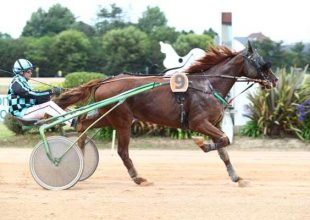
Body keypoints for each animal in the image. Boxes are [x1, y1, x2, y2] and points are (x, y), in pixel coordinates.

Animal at [54, 40, 278, 186]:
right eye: (262, 63)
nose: (275, 80)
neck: (208, 85)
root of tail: (106, 81)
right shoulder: (199, 122)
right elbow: (224, 140)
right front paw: (202, 144)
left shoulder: (213, 124)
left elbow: (224, 149)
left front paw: (235, 177)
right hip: (122, 120)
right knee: (122, 151)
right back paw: (137, 177)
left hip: (109, 116)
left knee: (83, 124)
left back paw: (79, 159)